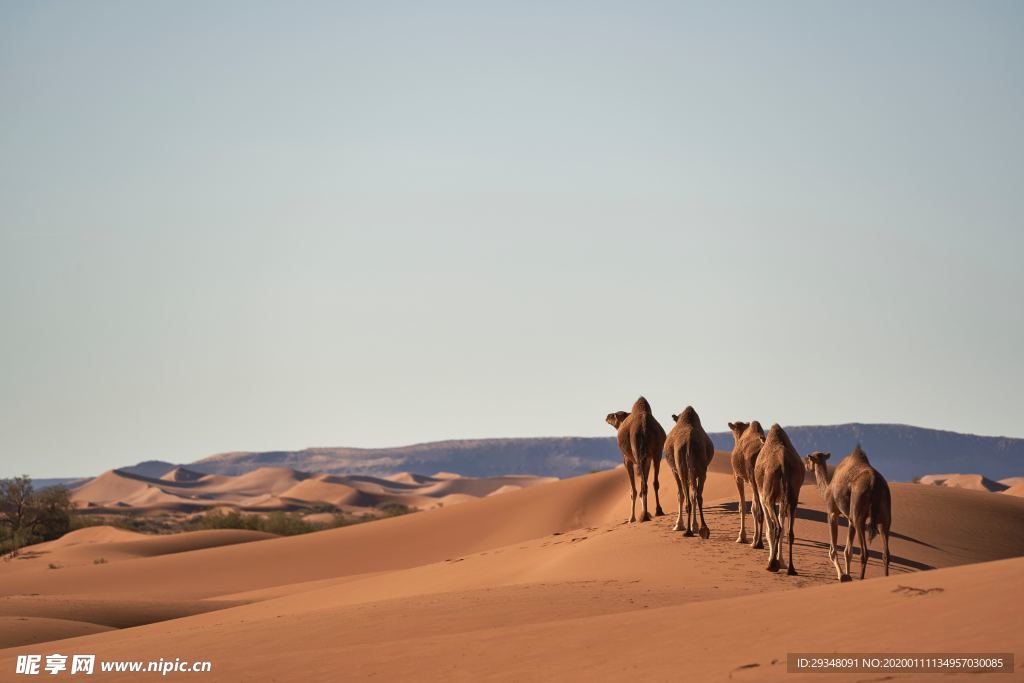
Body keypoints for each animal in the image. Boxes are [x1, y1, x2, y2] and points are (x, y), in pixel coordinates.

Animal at [602, 395, 667, 524]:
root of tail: (644, 426)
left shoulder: (627, 460)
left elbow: (633, 491)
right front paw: (645, 512)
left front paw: (631, 518)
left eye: (614, 415)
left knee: (642, 486)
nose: (607, 416)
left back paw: (644, 516)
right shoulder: (648, 459)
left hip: (638, 452)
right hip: (657, 453)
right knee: (653, 483)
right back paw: (658, 511)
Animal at [663, 405, 712, 540]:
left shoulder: (674, 470)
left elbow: (680, 495)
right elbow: (692, 494)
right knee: (697, 496)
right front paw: (694, 526)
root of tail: (689, 441)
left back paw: (688, 531)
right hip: (701, 469)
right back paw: (703, 529)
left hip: (682, 469)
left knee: (688, 497)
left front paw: (678, 525)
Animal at [753, 423, 806, 573]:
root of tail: (783, 462)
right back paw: (791, 569)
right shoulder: (783, 500)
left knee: (777, 528)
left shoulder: (763, 496)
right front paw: (781, 562)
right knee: (789, 531)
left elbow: (769, 530)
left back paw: (771, 565)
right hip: (793, 496)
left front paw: (774, 560)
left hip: (768, 497)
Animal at [802, 448, 892, 581]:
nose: (805, 466)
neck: (827, 489)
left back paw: (861, 579)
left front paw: (841, 575)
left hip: (859, 512)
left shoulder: (832, 513)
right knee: (885, 553)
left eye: (809, 458)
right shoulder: (850, 520)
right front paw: (847, 575)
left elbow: (833, 551)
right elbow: (848, 552)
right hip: (884, 516)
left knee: (864, 553)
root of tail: (874, 482)